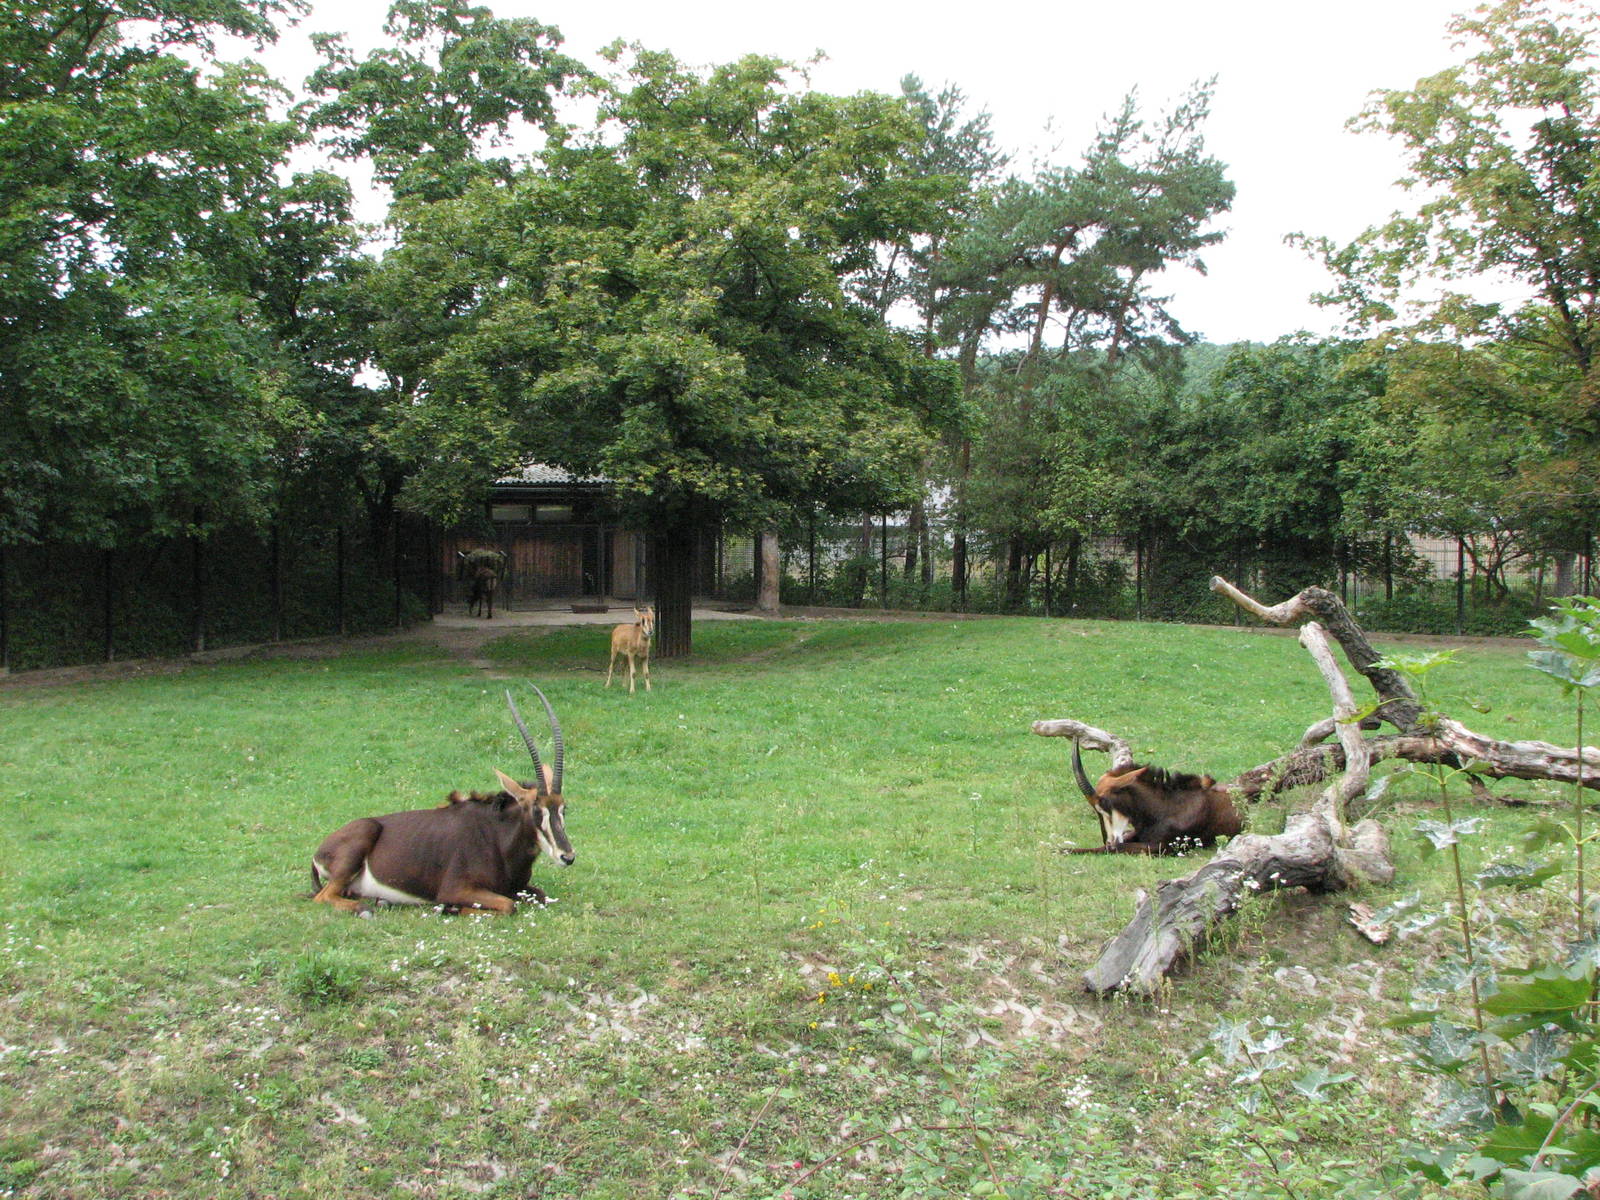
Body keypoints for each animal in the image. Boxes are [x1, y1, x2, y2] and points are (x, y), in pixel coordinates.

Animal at [310, 686, 573, 914]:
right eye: (536, 811)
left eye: (564, 808)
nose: (567, 857)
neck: (498, 839)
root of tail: (319, 851)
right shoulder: (456, 889)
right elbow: (509, 905)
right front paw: (450, 908)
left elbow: (540, 896)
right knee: (322, 897)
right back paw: (365, 909)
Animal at [1066, 739, 1243, 855]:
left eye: (1104, 803)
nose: (1108, 840)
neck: (1165, 807)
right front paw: (1065, 850)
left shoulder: (1164, 846)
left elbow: (1118, 848)